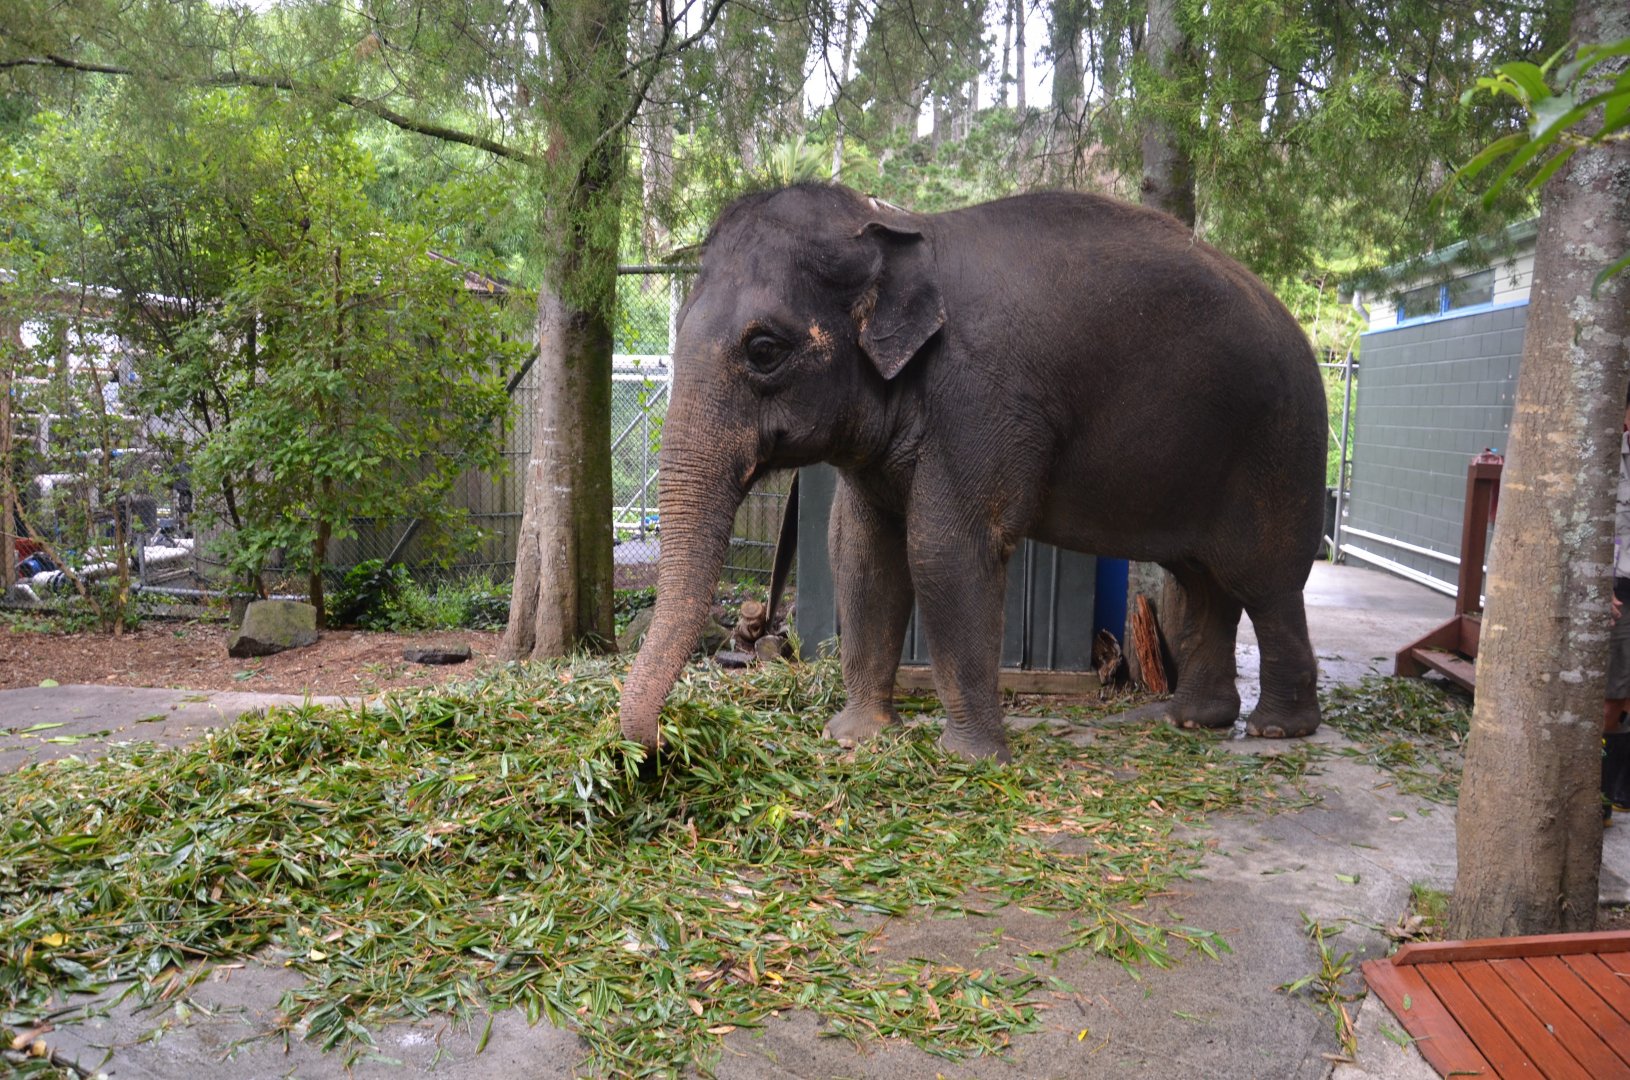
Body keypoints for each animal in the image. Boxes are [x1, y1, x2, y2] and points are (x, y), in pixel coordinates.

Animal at [619, 183, 1327, 761]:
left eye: (764, 349)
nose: (660, 745)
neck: (899, 227)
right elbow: (859, 547)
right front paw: (856, 738)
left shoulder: (982, 396)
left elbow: (946, 547)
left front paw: (970, 759)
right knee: (1201, 579)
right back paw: (1192, 721)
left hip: (1281, 450)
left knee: (1262, 579)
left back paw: (1276, 729)